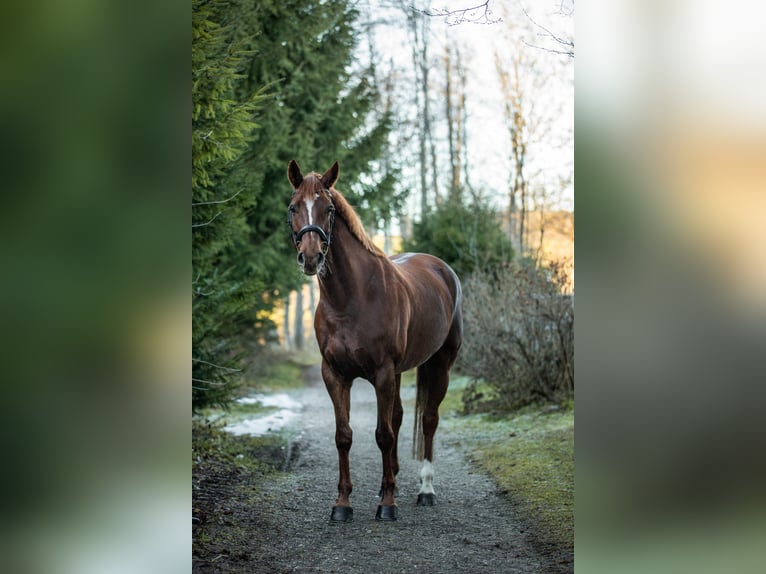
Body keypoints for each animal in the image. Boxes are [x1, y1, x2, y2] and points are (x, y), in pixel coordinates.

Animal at [286, 160, 462, 522]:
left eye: (328, 209)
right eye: (294, 207)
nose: (310, 258)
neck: (351, 298)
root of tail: (442, 269)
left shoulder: (381, 372)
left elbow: (383, 435)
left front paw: (388, 506)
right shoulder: (335, 375)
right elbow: (344, 436)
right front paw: (342, 505)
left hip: (440, 364)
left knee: (428, 420)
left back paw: (425, 489)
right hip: (398, 373)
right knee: (398, 416)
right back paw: (390, 481)